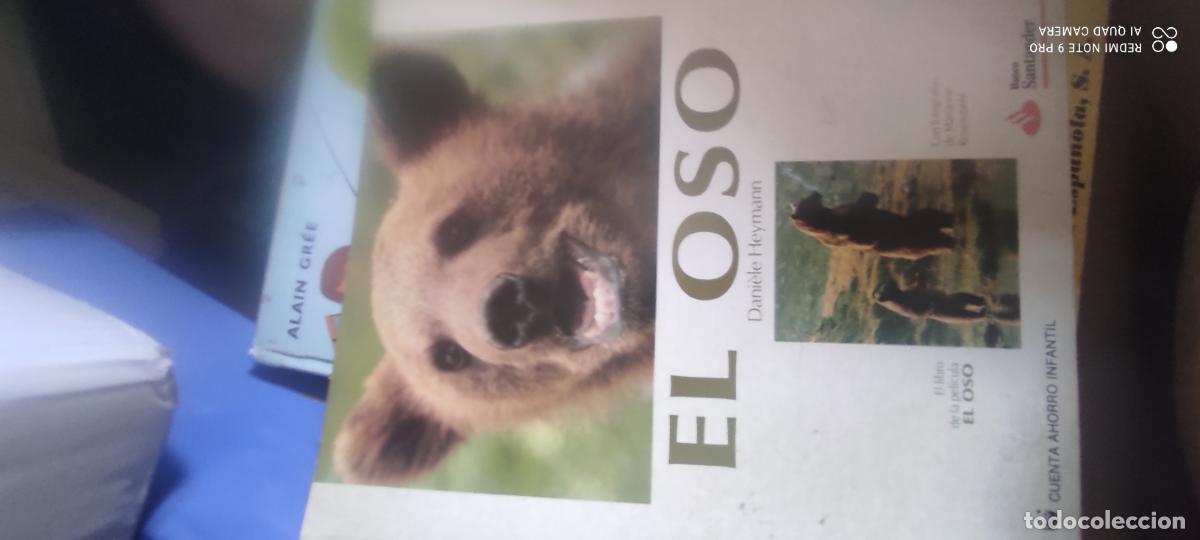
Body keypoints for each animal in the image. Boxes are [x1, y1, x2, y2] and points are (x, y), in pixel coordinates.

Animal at [789, 191, 956, 260]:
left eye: (803, 200)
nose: (815, 193)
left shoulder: (846, 212)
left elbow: (864, 204)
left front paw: (869, 196)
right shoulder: (839, 236)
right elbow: (861, 240)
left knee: (933, 217)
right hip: (917, 243)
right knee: (937, 240)